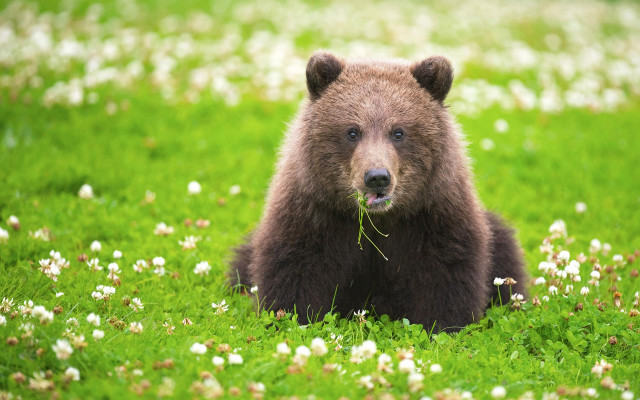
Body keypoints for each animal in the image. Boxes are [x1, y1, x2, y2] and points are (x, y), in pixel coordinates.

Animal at [229, 51, 527, 332]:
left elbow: (446, 270)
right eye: (352, 131)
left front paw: (442, 324)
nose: (377, 177)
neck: (378, 220)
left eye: (398, 132)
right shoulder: (316, 213)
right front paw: (292, 317)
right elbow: (295, 265)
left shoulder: (432, 216)